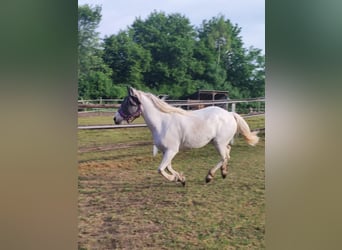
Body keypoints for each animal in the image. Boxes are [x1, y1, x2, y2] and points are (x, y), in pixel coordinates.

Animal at [113, 87, 260, 186]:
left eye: (128, 102)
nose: (115, 119)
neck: (162, 123)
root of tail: (230, 114)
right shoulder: (167, 151)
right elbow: (168, 167)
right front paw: (181, 178)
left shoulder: (172, 150)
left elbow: (160, 169)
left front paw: (176, 179)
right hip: (220, 142)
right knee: (228, 153)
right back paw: (223, 173)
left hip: (219, 142)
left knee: (224, 156)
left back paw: (209, 177)